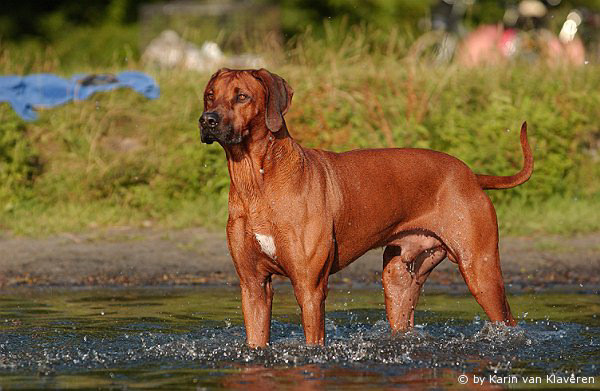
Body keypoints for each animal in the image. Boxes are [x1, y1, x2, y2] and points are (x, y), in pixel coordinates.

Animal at [199, 69, 532, 348]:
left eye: (242, 96)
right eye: (210, 95)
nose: (207, 120)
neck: (257, 182)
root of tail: (471, 175)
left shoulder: (310, 287)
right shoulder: (252, 285)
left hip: (480, 269)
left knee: (507, 319)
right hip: (398, 277)